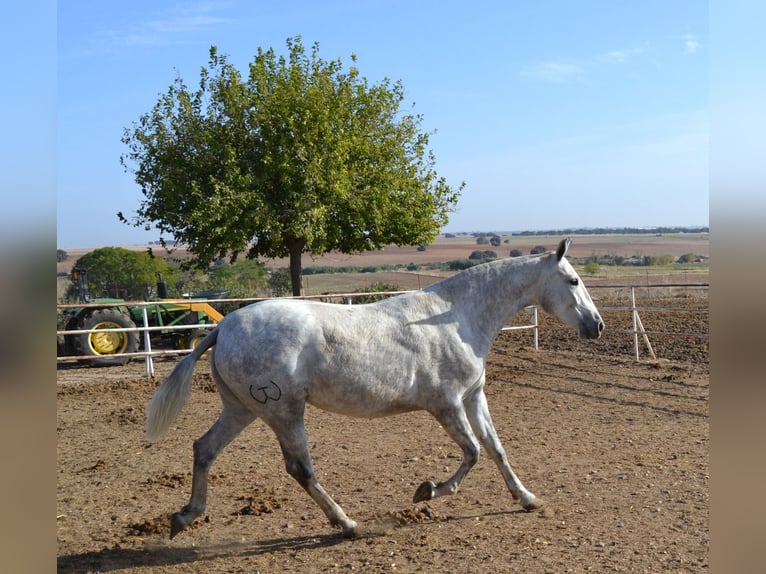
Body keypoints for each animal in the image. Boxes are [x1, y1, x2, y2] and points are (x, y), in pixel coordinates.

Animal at [147, 237, 608, 540]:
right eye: (572, 281)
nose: (598, 326)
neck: (456, 318)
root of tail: (222, 327)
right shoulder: (446, 405)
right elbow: (473, 453)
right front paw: (428, 491)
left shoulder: (474, 396)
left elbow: (496, 449)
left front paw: (527, 499)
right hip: (283, 411)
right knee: (299, 468)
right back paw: (347, 524)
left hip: (243, 409)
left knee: (204, 449)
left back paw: (185, 516)